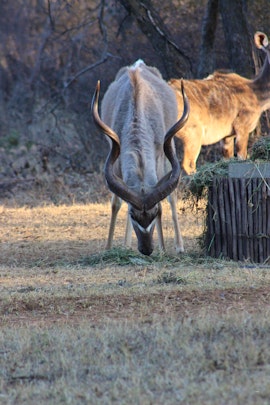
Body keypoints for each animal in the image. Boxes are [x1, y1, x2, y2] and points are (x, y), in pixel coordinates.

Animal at [92, 59, 189, 256]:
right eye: (132, 214)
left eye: (154, 212)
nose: (146, 249)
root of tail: (138, 66)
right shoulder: (116, 158)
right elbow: (115, 203)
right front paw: (109, 248)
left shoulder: (160, 155)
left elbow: (166, 201)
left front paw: (163, 249)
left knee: (172, 198)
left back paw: (179, 246)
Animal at [169, 31, 270, 174]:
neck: (257, 96)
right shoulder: (242, 127)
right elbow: (242, 156)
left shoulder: (227, 137)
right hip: (193, 133)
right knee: (187, 164)